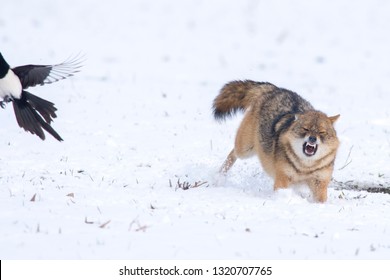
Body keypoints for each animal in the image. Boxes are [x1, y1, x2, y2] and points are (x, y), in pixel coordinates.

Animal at [212, 80, 340, 202]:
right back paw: (219, 178)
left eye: (322, 132)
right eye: (306, 129)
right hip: (245, 150)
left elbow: (321, 201)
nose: (312, 138)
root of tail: (273, 89)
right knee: (232, 154)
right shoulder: (283, 179)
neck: (305, 167)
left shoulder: (320, 183)